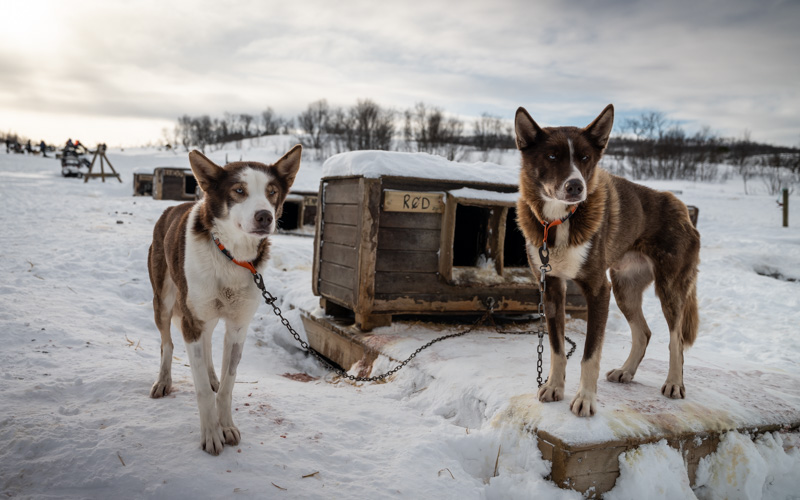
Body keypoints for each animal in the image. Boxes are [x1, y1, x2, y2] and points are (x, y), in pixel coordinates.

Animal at [147, 144, 300, 454]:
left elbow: (228, 384)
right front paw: (211, 434)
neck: (230, 256)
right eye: (239, 190)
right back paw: (164, 381)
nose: (265, 216)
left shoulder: (237, 326)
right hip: (165, 302)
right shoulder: (191, 321)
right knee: (167, 343)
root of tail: (172, 207)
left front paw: (226, 425)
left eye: (272, 191)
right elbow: (202, 391)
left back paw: (210, 375)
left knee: (206, 346)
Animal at [516, 106, 696, 418]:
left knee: (676, 340)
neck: (560, 219)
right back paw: (626, 371)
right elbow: (557, 348)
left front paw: (585, 399)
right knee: (644, 333)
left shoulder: (599, 290)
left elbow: (590, 355)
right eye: (552, 156)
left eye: (585, 158)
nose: (576, 186)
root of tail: (683, 210)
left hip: (669, 289)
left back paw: (674, 383)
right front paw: (554, 387)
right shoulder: (552, 288)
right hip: (625, 289)